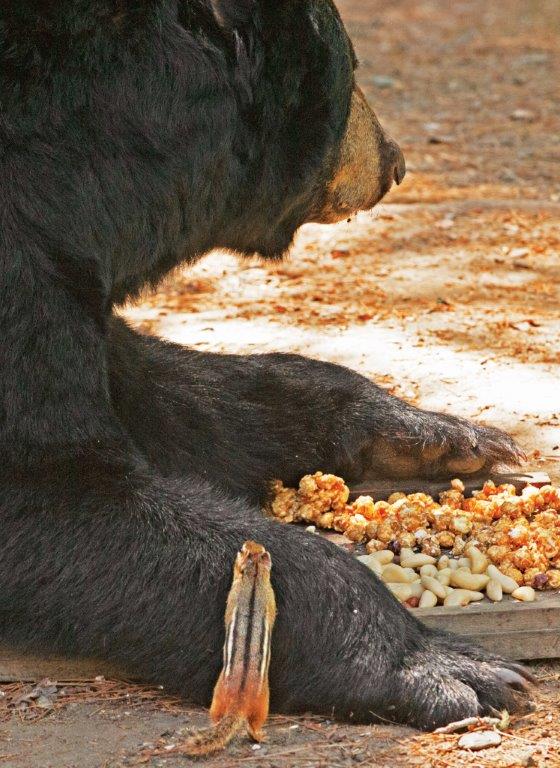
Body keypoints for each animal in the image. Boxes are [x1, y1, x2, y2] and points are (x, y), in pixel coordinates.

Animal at [182, 540, 277, 756]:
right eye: (244, 548)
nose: (248, 541)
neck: (253, 577)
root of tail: (238, 701)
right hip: (248, 701)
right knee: (247, 725)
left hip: (224, 697)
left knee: (231, 721)